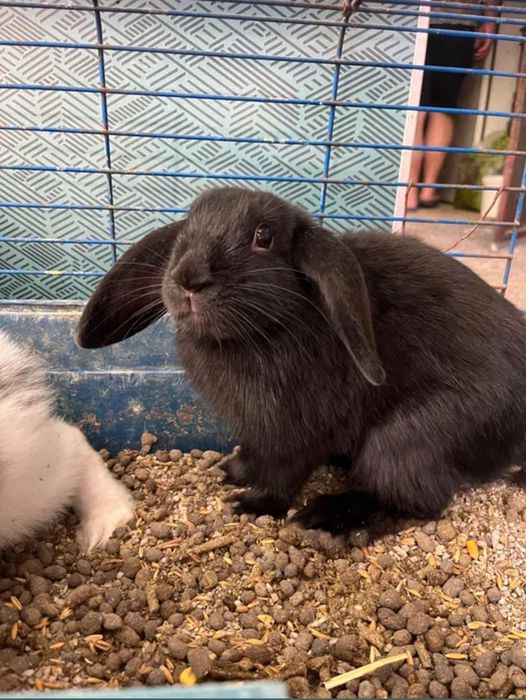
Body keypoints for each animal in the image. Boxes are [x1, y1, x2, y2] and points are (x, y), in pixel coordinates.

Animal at [76, 186, 526, 543]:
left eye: (263, 236)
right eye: (188, 225)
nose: (187, 279)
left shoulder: (295, 433)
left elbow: (282, 475)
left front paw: (250, 505)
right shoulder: (258, 430)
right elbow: (253, 455)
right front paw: (231, 469)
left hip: (404, 440)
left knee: (419, 502)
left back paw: (330, 518)